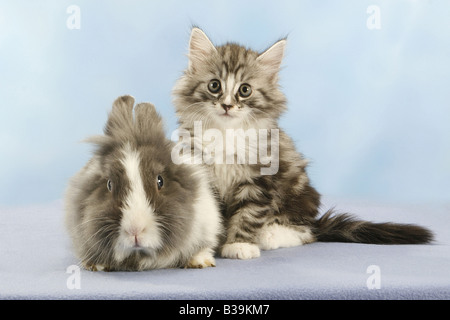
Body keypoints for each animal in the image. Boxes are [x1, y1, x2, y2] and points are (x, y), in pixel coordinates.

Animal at [172, 26, 432, 258]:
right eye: (214, 85)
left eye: (244, 90)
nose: (227, 105)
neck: (225, 133)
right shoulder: (201, 172)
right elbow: (209, 215)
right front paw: (205, 246)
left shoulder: (261, 178)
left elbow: (250, 214)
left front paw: (240, 245)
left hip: (301, 195)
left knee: (305, 232)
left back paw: (270, 235)